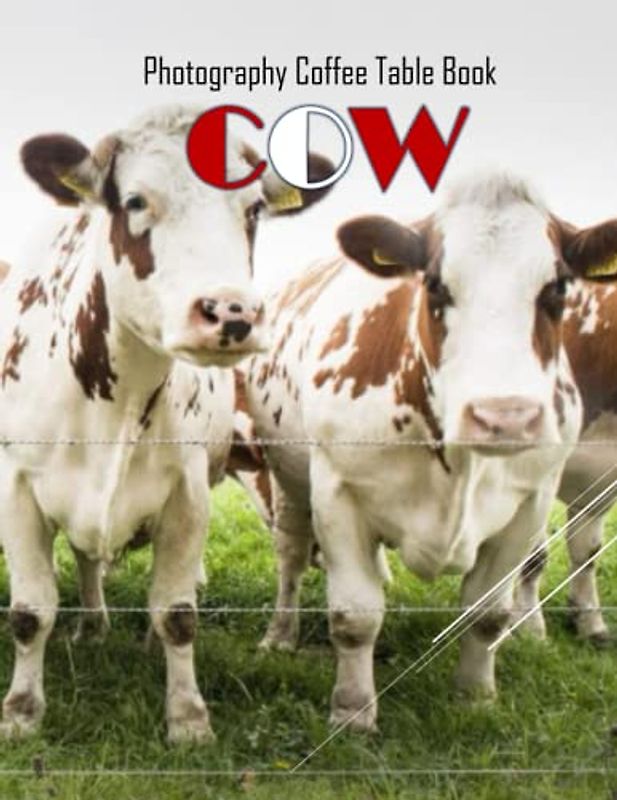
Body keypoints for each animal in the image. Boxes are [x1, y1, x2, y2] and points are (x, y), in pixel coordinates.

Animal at [0, 105, 332, 742]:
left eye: (253, 209)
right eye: (134, 200)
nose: (232, 312)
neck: (115, 399)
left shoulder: (188, 492)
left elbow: (178, 613)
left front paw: (188, 717)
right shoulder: (18, 489)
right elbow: (31, 613)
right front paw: (21, 713)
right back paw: (93, 625)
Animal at [243, 172, 617, 731]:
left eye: (557, 288)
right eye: (436, 285)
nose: (504, 416)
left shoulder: (532, 501)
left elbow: (490, 611)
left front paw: (476, 694)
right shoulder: (338, 492)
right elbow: (354, 616)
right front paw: (353, 711)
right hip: (287, 477)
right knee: (290, 555)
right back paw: (279, 636)